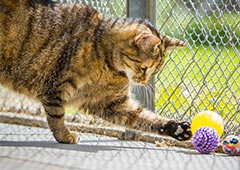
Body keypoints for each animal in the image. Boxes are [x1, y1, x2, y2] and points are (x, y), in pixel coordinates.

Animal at [0, 0, 191, 143]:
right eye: (144, 68)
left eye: (155, 72)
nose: (144, 81)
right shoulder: (54, 87)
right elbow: (57, 116)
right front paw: (64, 136)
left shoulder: (113, 104)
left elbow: (145, 118)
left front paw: (176, 128)